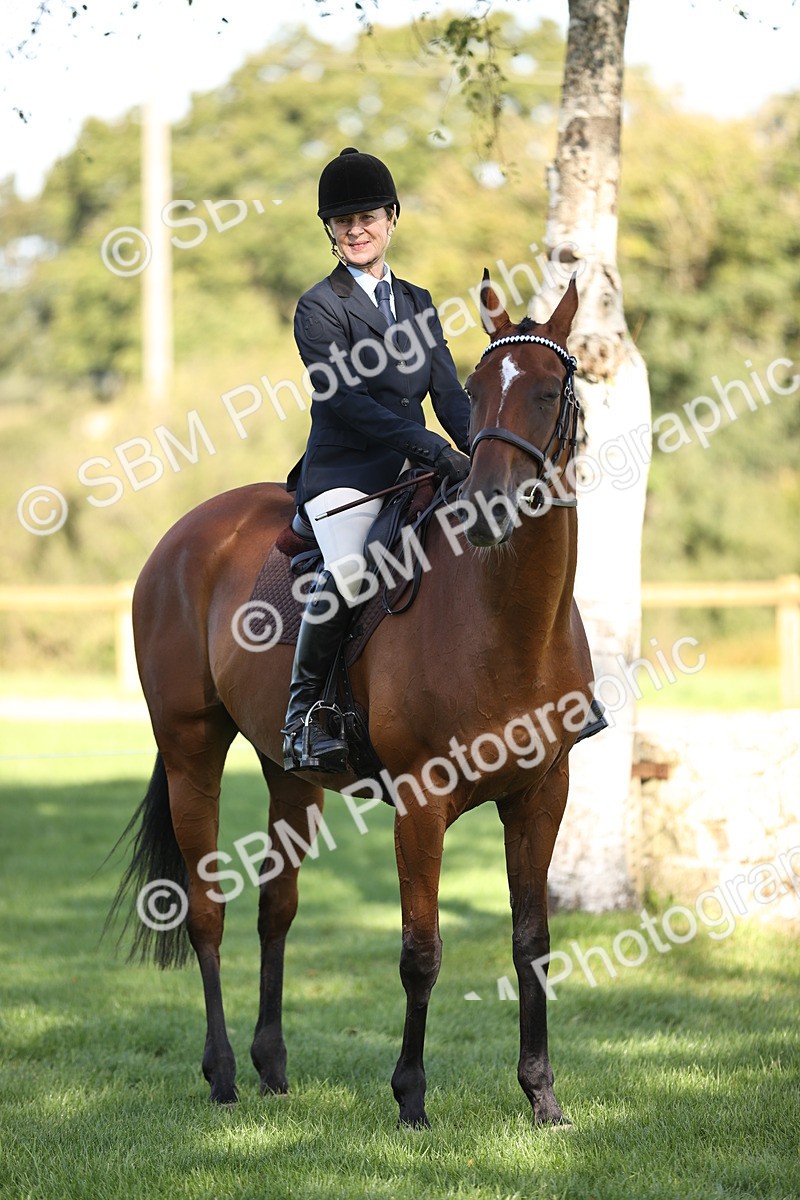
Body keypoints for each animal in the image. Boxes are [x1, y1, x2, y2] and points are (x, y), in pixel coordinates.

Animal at [111, 273, 596, 1128]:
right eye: (478, 391)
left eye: (549, 391)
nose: (490, 504)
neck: (510, 620)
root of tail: (185, 533)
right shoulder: (421, 803)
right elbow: (420, 951)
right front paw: (410, 1099)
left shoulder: (543, 792)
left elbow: (531, 943)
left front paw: (543, 1097)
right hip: (190, 752)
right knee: (207, 911)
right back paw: (223, 1075)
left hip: (289, 773)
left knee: (276, 908)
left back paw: (272, 1068)